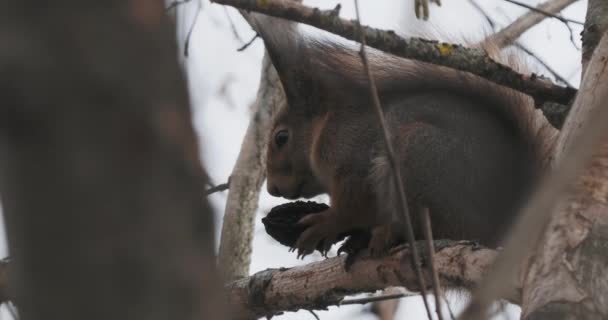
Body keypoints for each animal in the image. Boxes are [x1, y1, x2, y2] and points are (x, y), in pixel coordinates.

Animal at [249, 13, 560, 258]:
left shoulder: (353, 157)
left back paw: (389, 234)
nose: (272, 189)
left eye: (281, 138)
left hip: (420, 155)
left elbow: (354, 207)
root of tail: (508, 219)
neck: (324, 127)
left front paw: (326, 224)